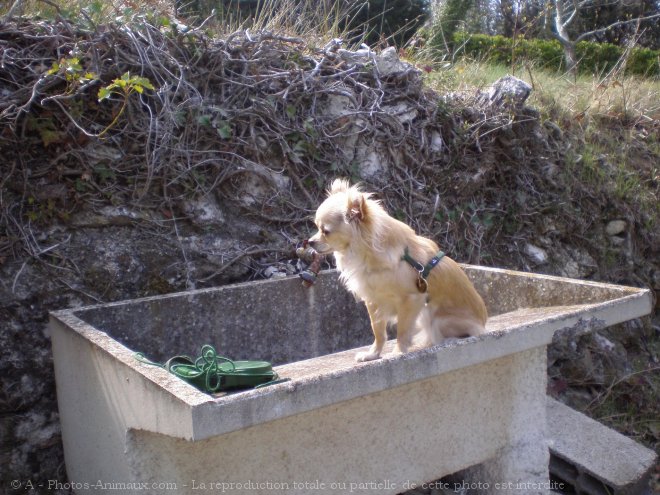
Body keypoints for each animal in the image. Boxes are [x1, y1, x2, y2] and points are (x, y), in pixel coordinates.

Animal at [308, 180, 484, 362]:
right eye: (317, 228)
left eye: (326, 231)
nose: (309, 242)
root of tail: (483, 323)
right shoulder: (373, 300)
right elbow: (378, 331)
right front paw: (373, 354)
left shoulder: (411, 299)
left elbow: (403, 330)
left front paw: (399, 352)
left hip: (436, 319)